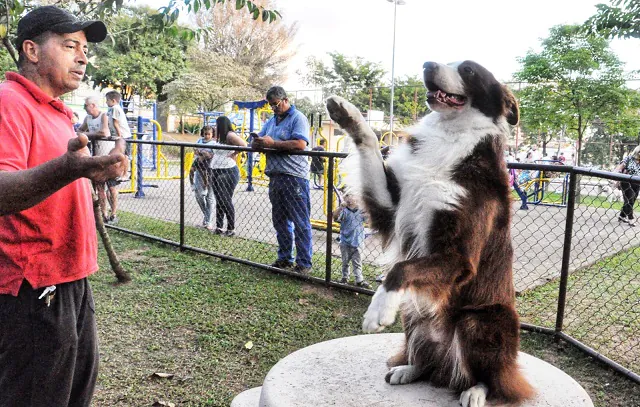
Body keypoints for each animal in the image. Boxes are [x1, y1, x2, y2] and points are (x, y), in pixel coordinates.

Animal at [324, 60, 536, 407]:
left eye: (468, 69)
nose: (428, 64)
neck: (452, 132)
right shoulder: (391, 205)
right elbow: (370, 144)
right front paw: (348, 115)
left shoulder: (460, 257)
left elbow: (400, 268)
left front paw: (378, 310)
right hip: (414, 312)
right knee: (430, 363)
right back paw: (409, 369)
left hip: (479, 321)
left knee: (492, 378)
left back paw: (475, 390)